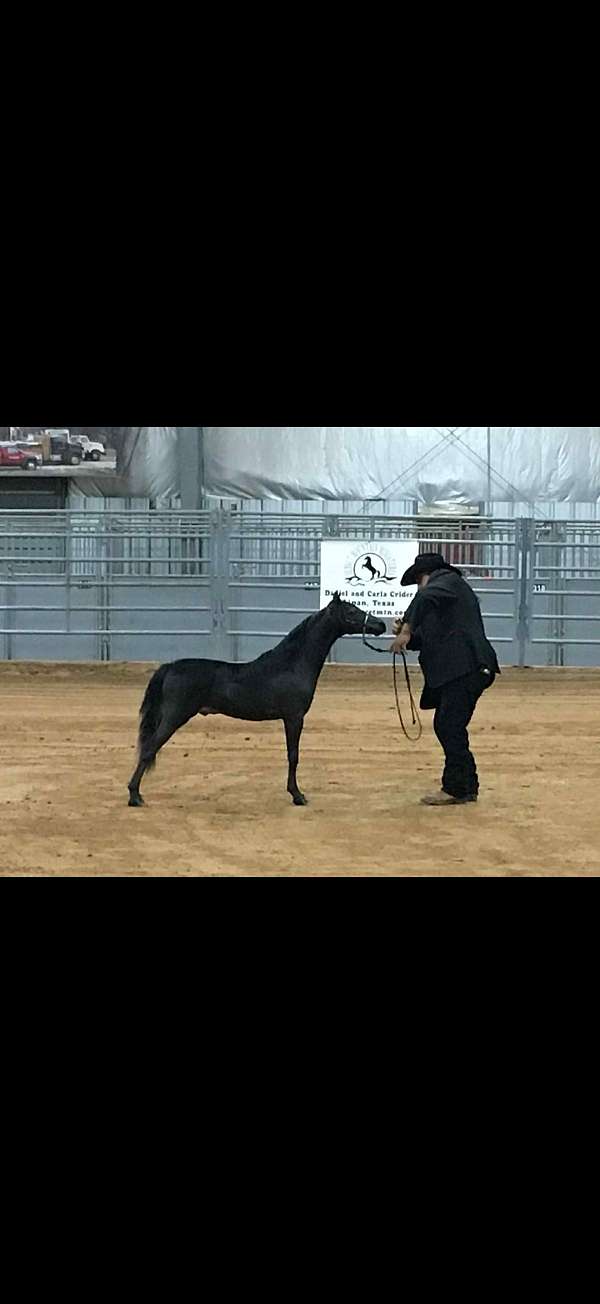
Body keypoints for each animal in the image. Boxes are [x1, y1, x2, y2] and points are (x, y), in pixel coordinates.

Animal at [128, 594, 386, 809]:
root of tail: (170, 667)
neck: (291, 665)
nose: (380, 625)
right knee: (149, 748)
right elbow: (293, 755)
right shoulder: (294, 718)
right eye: (352, 611)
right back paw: (135, 797)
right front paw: (297, 796)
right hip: (174, 717)